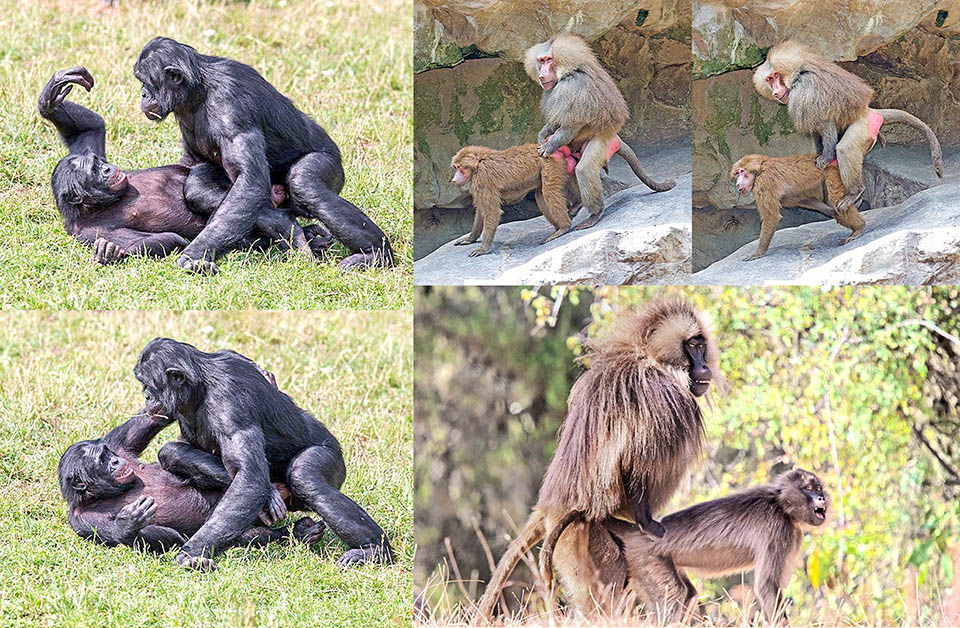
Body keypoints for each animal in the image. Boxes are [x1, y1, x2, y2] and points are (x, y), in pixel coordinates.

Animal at [476, 300, 716, 624]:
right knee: (611, 586)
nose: (705, 367)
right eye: (692, 345)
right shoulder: (660, 398)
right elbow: (635, 461)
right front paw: (650, 525)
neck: (650, 358)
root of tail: (549, 508)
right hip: (579, 537)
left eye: (701, 345)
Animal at [524, 34, 676, 231]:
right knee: (569, 167)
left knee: (584, 170)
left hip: (603, 142)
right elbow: (556, 121)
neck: (567, 72)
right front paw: (542, 137)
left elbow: (571, 124)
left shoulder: (572, 89)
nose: (541, 76)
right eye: (540, 61)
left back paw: (594, 215)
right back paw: (576, 205)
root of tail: (615, 136)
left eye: (549, 60)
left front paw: (547, 147)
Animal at [732, 153, 868, 258]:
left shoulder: (764, 183)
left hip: (831, 171)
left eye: (742, 172)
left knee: (835, 200)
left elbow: (771, 217)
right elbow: (803, 199)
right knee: (833, 204)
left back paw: (859, 228)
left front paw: (759, 253)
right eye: (737, 174)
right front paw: (829, 210)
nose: (738, 184)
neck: (760, 168)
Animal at [752, 39, 940, 211]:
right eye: (769, 79)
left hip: (863, 126)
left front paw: (825, 157)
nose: (775, 93)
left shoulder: (805, 93)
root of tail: (869, 111)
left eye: (775, 76)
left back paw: (855, 193)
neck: (797, 73)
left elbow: (826, 122)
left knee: (846, 148)